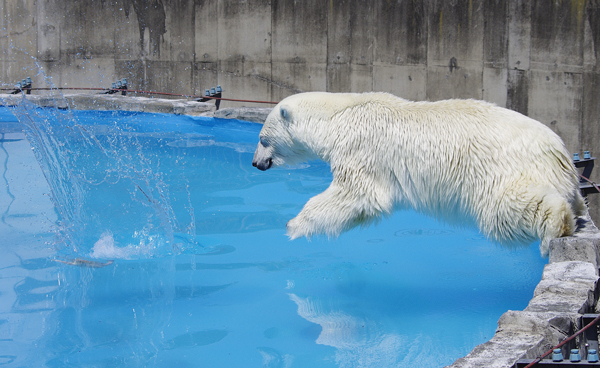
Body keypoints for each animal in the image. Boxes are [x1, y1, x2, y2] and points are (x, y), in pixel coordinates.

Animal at [252, 92, 584, 256]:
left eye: (263, 139)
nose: (256, 163)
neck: (338, 115)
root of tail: (559, 151)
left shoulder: (360, 149)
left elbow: (357, 194)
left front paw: (294, 226)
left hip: (502, 169)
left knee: (507, 209)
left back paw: (556, 227)